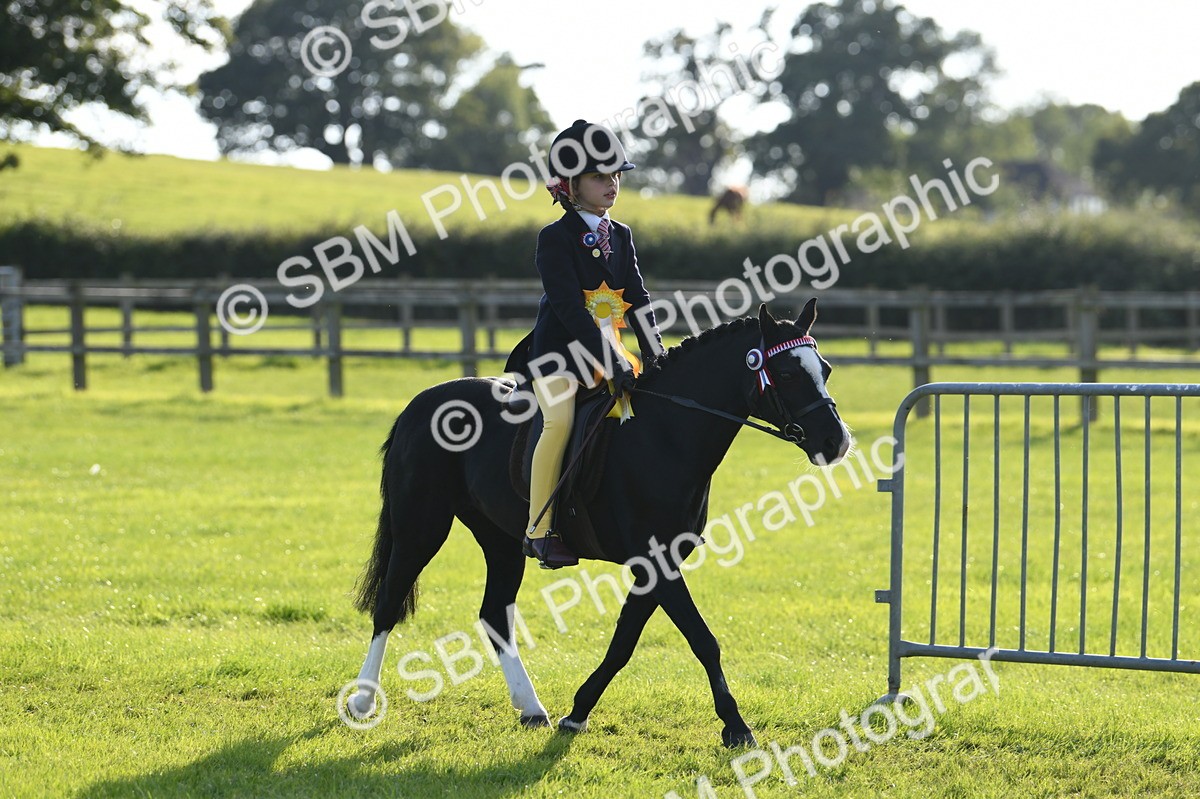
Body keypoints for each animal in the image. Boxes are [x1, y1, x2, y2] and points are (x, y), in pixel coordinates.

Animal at [346, 300, 851, 747]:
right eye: (787, 373)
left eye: (825, 369)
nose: (837, 441)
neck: (665, 434)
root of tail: (420, 403)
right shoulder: (655, 561)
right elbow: (702, 639)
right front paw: (736, 726)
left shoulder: (658, 563)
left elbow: (624, 641)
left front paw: (578, 711)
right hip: (420, 526)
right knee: (388, 604)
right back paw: (362, 702)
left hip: (502, 541)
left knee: (494, 615)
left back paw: (532, 708)